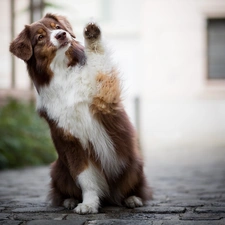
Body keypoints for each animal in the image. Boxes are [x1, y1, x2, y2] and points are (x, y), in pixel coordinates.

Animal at [9, 13, 152, 214]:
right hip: (57, 169)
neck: (63, 72)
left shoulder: (103, 95)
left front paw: (92, 34)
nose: (62, 35)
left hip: (134, 163)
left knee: (132, 188)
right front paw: (89, 204)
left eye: (57, 27)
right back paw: (69, 200)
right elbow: (86, 178)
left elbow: (98, 60)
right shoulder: (72, 141)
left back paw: (132, 198)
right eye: (40, 37)